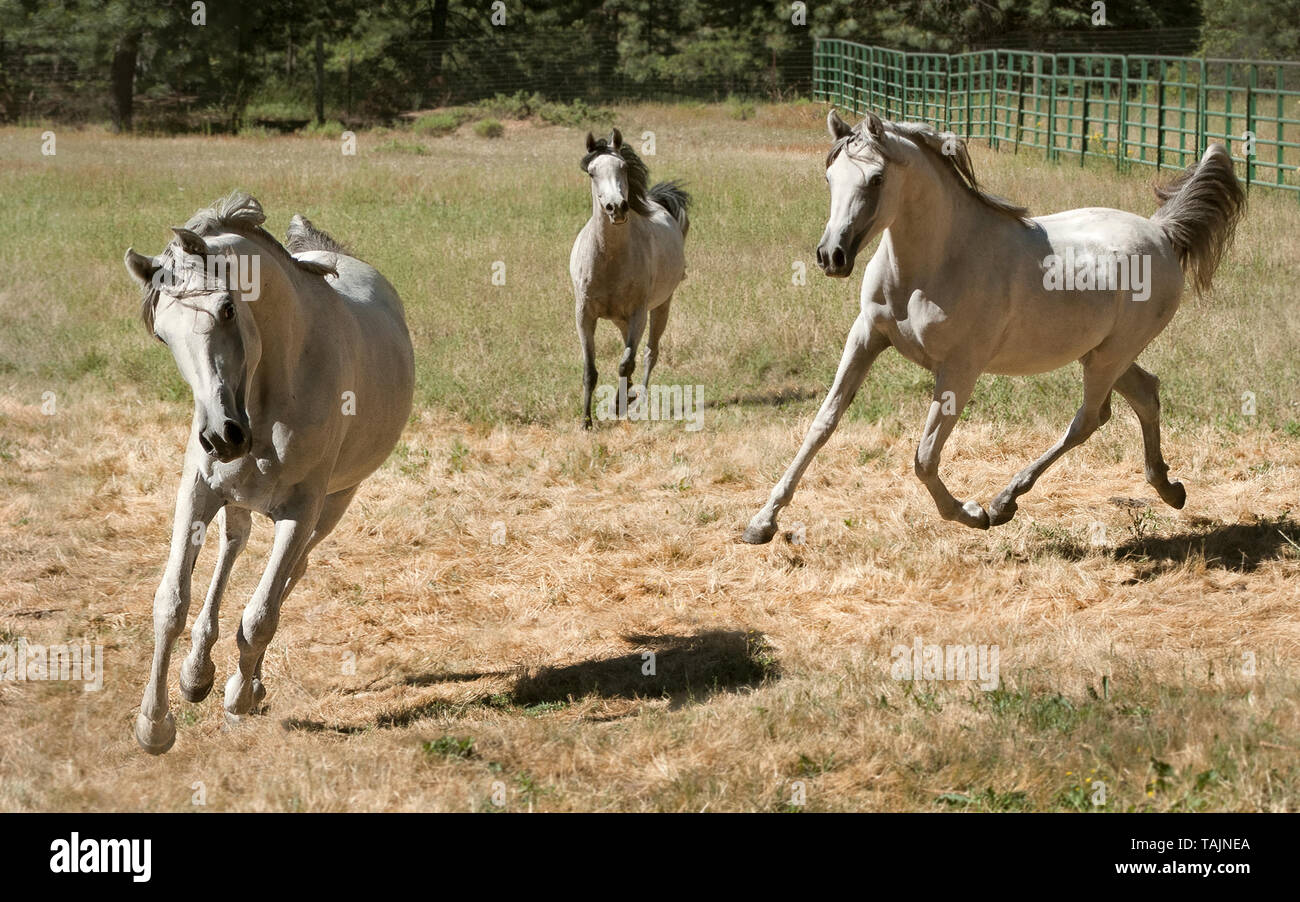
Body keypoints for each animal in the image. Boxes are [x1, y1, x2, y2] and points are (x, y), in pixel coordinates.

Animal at [124, 194, 413, 753]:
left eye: (227, 308)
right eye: (163, 335)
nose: (221, 437)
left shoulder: (301, 512)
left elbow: (260, 616)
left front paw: (238, 696)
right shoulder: (198, 492)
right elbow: (171, 601)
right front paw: (155, 724)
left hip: (332, 507)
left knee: (290, 576)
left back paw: (246, 683)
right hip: (236, 497)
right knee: (232, 547)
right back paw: (197, 672)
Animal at [569, 126, 691, 431]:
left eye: (623, 167)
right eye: (592, 172)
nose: (617, 207)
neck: (609, 261)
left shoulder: (638, 313)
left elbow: (626, 363)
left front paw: (620, 406)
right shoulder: (584, 315)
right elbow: (590, 370)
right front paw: (586, 422)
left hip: (660, 307)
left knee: (648, 353)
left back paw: (639, 399)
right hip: (619, 319)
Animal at [743, 105, 1237, 543]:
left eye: (877, 179)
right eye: (829, 177)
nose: (832, 256)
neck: (934, 266)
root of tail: (1162, 232)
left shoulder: (961, 368)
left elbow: (924, 456)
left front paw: (971, 513)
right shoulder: (866, 336)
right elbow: (822, 424)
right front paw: (761, 523)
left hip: (1109, 357)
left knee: (1089, 419)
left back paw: (1004, 502)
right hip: (1101, 354)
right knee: (1144, 394)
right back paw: (1169, 489)